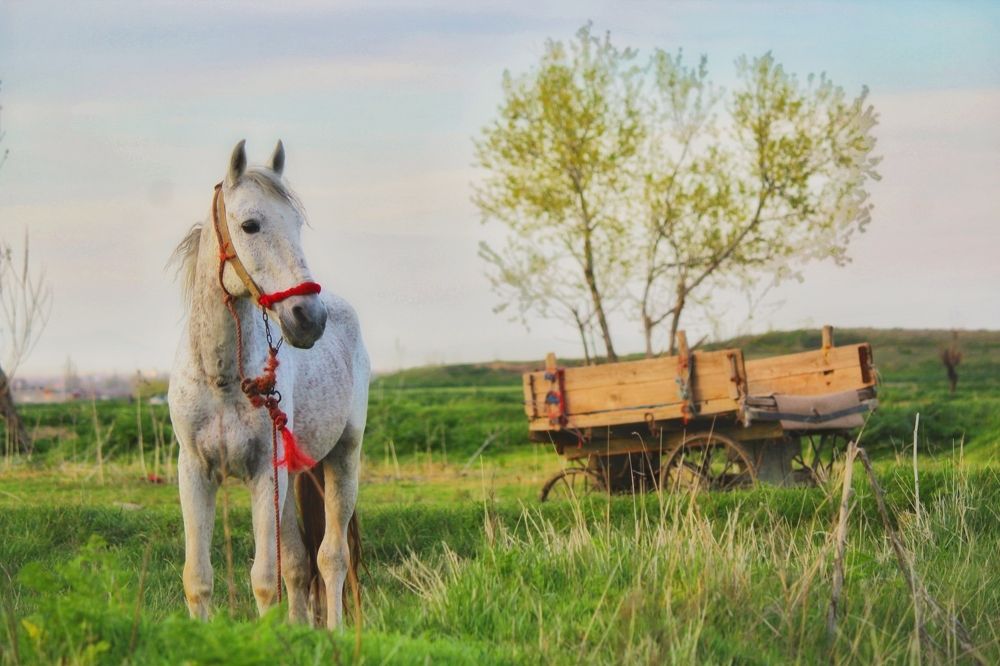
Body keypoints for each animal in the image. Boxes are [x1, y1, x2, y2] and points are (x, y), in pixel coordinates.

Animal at [168, 140, 369, 628]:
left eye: (296, 224)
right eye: (250, 225)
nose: (308, 318)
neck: (222, 380)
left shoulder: (264, 473)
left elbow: (264, 579)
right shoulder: (194, 472)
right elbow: (198, 576)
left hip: (343, 458)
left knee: (331, 557)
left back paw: (334, 632)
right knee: (298, 563)